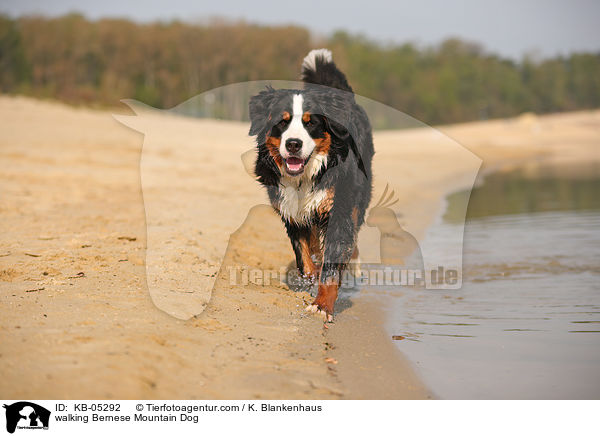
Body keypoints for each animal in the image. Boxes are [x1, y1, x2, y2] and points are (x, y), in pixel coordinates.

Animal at [247, 49, 370, 322]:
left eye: (310, 122)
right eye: (282, 122)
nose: (293, 143)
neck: (305, 178)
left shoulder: (339, 209)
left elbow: (332, 265)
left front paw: (322, 305)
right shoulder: (290, 211)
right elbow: (304, 257)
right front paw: (311, 276)